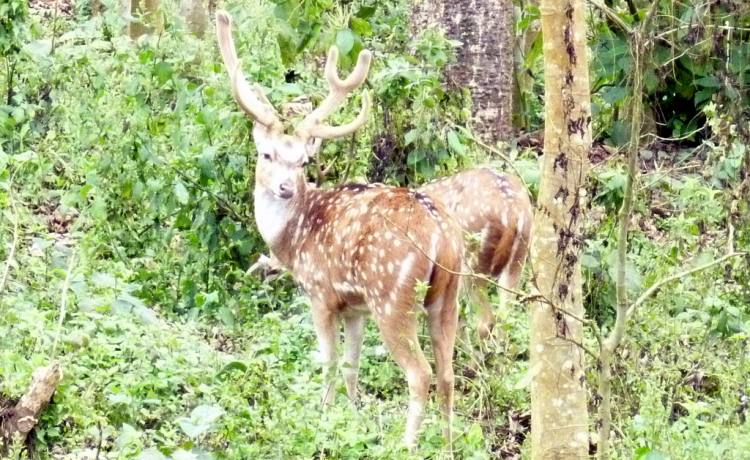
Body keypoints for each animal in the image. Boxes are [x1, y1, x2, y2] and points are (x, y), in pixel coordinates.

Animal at [214, 11, 468, 450]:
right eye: (267, 155)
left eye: (302, 161)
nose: (285, 187)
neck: (292, 239)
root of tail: (443, 236)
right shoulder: (355, 306)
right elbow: (353, 363)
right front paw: (353, 415)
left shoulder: (321, 293)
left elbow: (330, 361)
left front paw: (324, 414)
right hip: (447, 295)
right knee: (448, 374)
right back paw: (449, 447)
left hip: (393, 296)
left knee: (420, 375)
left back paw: (406, 444)